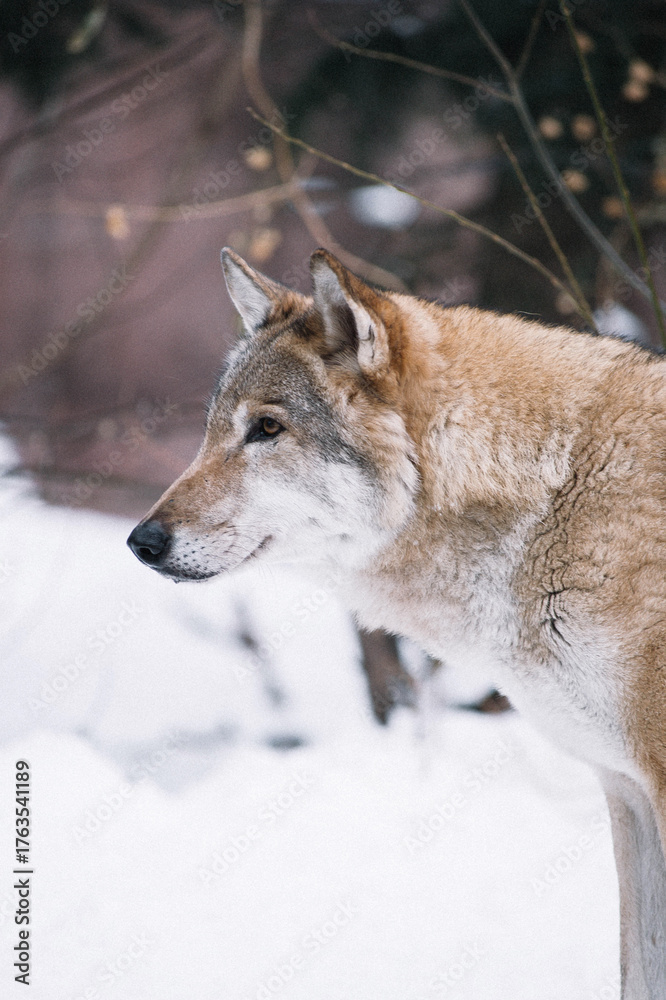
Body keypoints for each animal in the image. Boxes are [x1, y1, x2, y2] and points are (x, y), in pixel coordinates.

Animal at [128, 247, 666, 999]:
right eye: (212, 430)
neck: (554, 493)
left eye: (267, 429)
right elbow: (637, 973)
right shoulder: (625, 791)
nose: (141, 542)